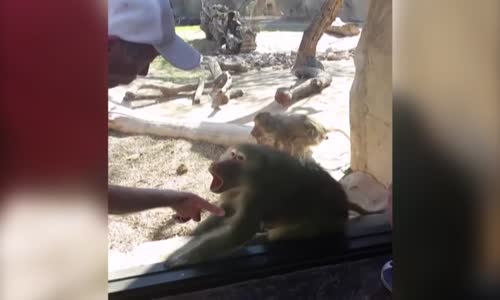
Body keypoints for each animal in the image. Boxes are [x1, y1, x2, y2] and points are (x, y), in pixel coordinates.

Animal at [164, 144, 382, 268]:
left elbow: (240, 231)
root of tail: (343, 203)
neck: (246, 179)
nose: (215, 165)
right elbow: (225, 212)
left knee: (287, 232)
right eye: (231, 154)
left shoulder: (259, 193)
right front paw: (193, 233)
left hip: (323, 223)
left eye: (238, 158)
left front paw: (183, 257)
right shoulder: (236, 192)